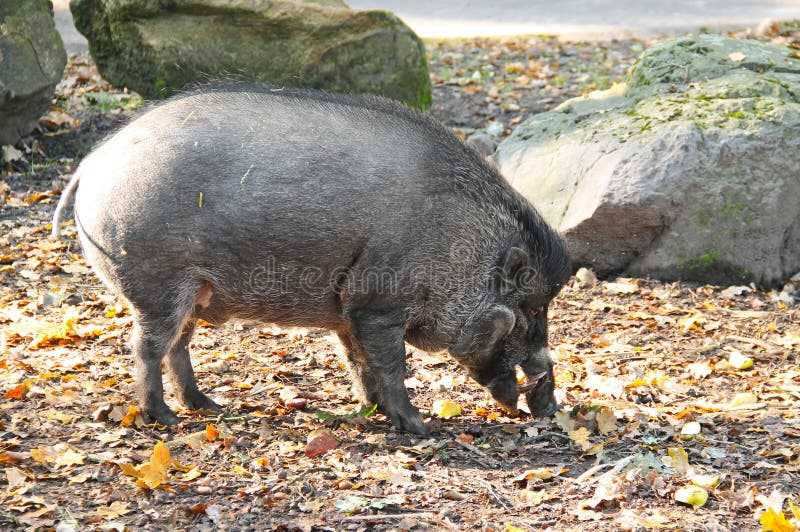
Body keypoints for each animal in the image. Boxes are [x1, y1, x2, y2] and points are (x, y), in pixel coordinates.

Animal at [51, 85, 568, 434]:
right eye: (529, 308)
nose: (550, 405)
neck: (459, 243)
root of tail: (93, 163)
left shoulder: (348, 311)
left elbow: (359, 362)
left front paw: (373, 412)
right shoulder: (377, 302)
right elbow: (390, 363)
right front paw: (419, 428)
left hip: (193, 292)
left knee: (178, 347)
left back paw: (209, 407)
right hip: (156, 285)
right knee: (146, 348)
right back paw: (165, 419)